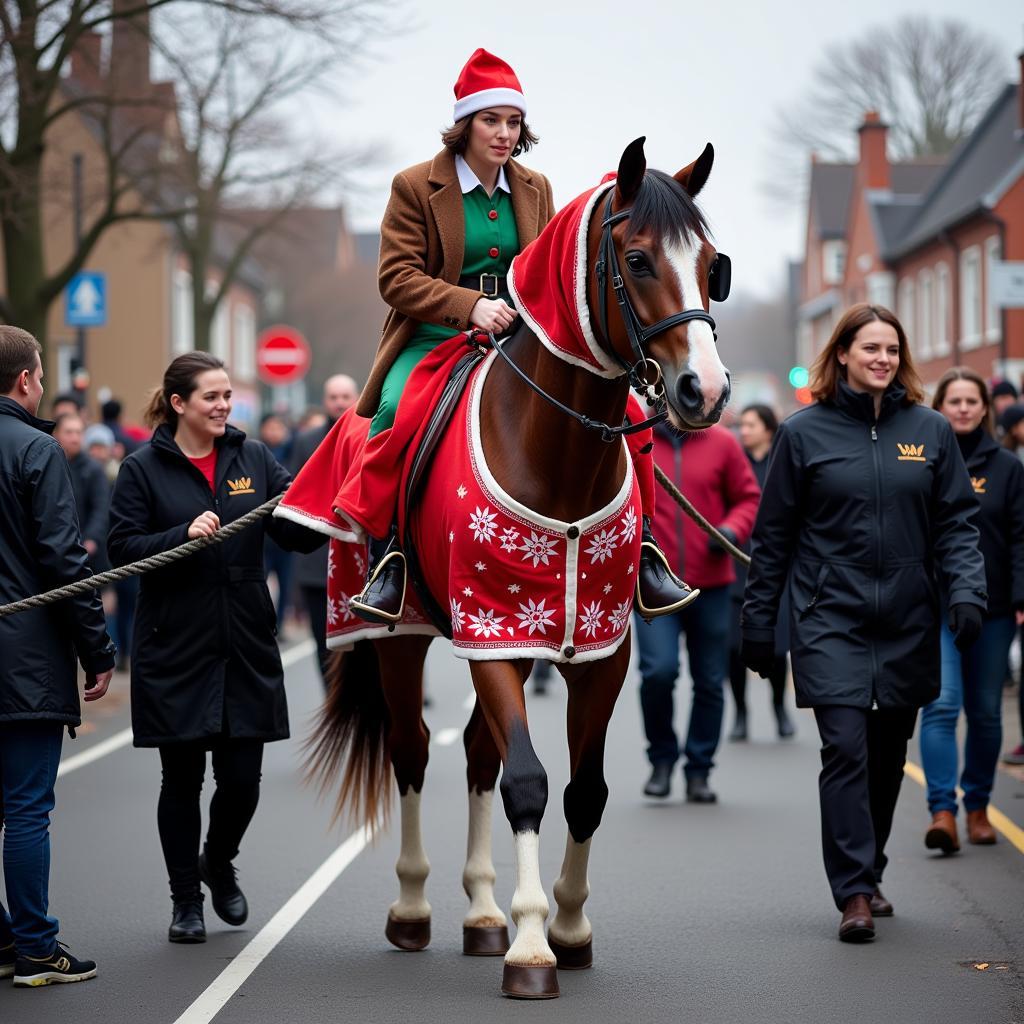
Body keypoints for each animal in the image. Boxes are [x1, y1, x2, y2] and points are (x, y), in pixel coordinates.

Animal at [307, 138, 733, 999]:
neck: (556, 451)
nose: (704, 390)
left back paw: (481, 912)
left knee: (475, 752)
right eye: (638, 259)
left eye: (713, 264)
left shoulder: (597, 648)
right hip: (404, 638)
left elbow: (583, 788)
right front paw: (534, 947)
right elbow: (529, 781)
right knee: (413, 751)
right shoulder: (491, 631)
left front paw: (566, 926)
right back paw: (414, 909)